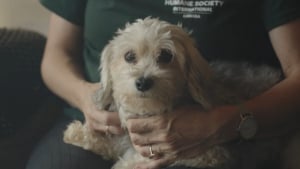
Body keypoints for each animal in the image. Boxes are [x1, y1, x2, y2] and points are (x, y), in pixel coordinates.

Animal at [62, 17, 298, 169]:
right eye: (129, 56)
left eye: (166, 56)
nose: (143, 82)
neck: (150, 111)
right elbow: (110, 144)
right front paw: (77, 132)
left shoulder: (208, 154)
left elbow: (134, 160)